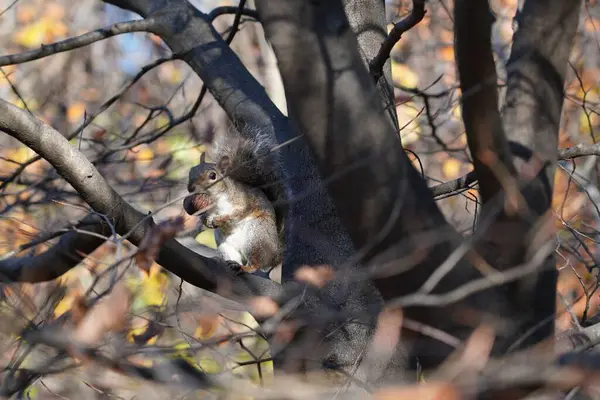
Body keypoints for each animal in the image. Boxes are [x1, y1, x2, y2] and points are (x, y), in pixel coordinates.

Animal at [182, 126, 284, 276]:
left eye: (213, 176)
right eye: (191, 171)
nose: (191, 188)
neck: (215, 200)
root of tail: (275, 255)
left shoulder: (243, 201)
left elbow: (238, 213)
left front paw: (220, 219)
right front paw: (205, 220)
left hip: (256, 236)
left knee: (256, 263)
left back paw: (246, 267)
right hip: (226, 245)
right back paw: (232, 264)